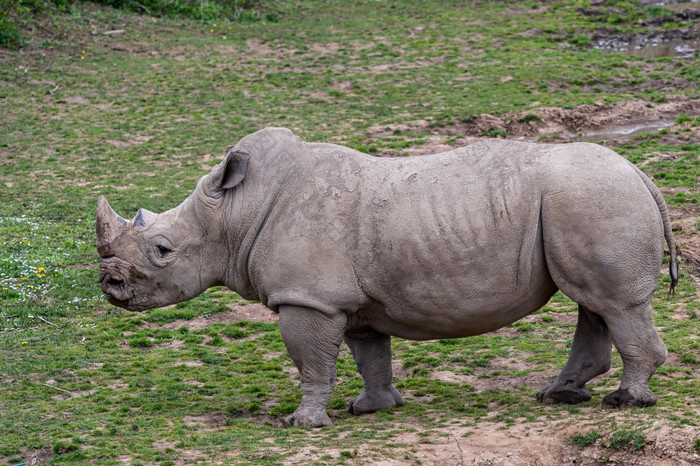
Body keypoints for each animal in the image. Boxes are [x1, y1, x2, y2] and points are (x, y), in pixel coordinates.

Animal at [97, 126, 680, 426]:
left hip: (592, 198)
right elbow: (368, 353)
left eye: (162, 250)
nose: (110, 285)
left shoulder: (307, 298)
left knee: (614, 304)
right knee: (592, 304)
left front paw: (302, 423)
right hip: (584, 202)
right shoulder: (348, 300)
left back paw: (625, 402)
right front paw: (371, 408)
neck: (234, 213)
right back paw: (560, 396)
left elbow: (311, 362)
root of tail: (639, 172)